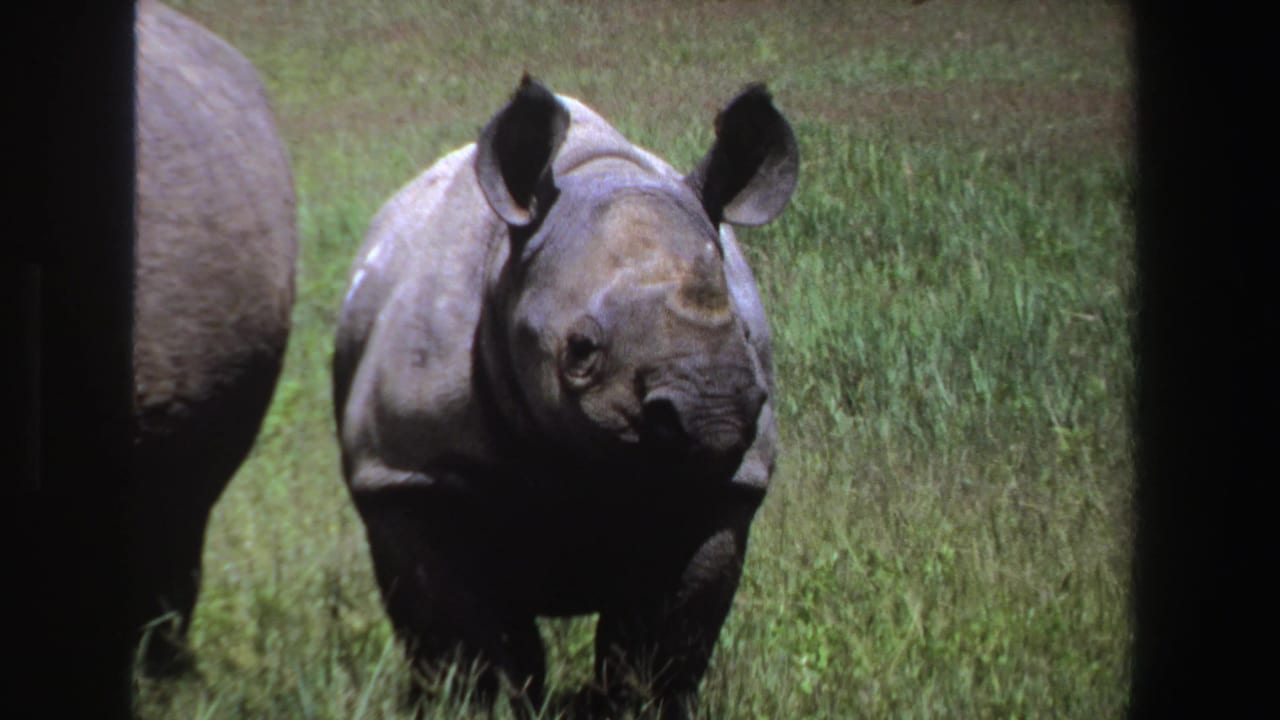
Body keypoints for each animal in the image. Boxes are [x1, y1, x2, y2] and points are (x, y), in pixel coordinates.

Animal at [333, 76, 796, 717]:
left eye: (748, 339)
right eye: (581, 350)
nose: (713, 413)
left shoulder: (721, 485)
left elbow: (660, 643)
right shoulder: (408, 472)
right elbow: (464, 640)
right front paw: (481, 707)